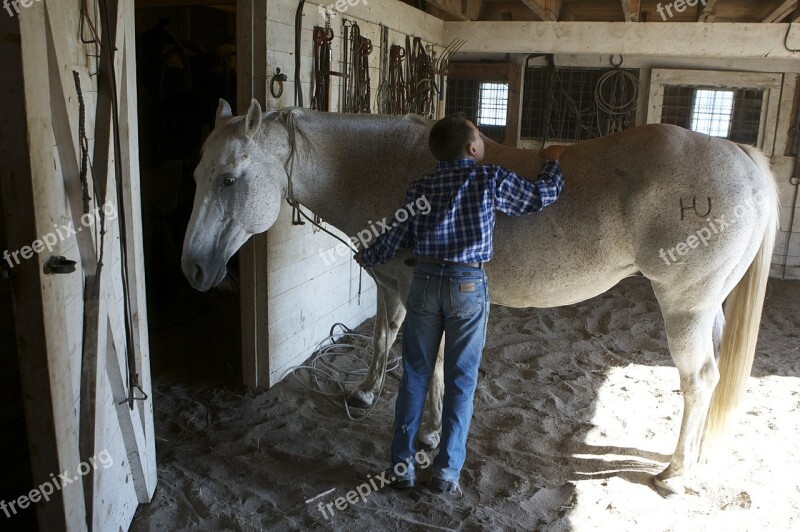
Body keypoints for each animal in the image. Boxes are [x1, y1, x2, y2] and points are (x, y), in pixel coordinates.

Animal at [183, 98, 780, 494]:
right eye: (197, 174)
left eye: (230, 179)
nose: (193, 268)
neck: (383, 166)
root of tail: (741, 157)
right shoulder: (390, 285)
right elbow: (383, 337)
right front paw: (366, 394)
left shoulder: (420, 291)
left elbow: (429, 361)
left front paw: (426, 437)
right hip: (709, 309)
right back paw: (693, 458)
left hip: (686, 309)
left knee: (699, 380)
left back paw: (675, 474)